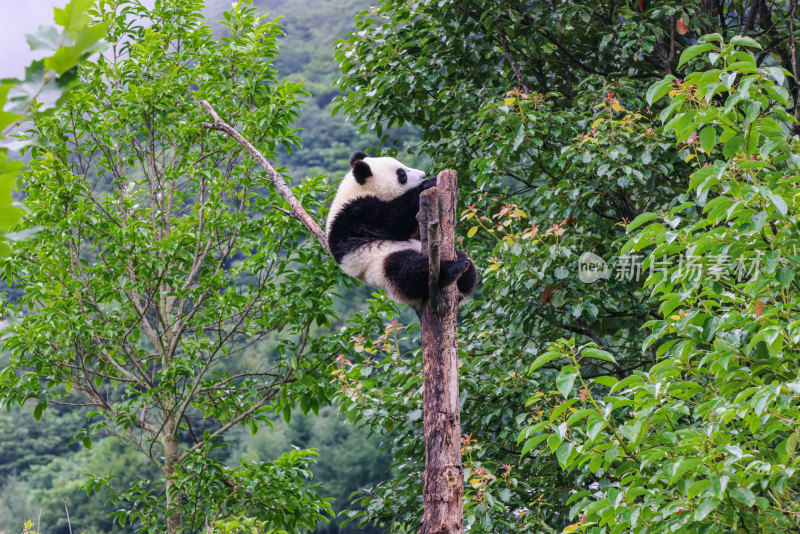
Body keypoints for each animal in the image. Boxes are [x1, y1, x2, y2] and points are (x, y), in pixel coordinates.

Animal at [324, 151, 476, 310]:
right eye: (401, 173)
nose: (423, 175)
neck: (357, 190)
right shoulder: (356, 214)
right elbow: (395, 222)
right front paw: (429, 183)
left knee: (469, 268)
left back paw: (464, 277)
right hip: (380, 264)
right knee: (407, 269)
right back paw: (452, 269)